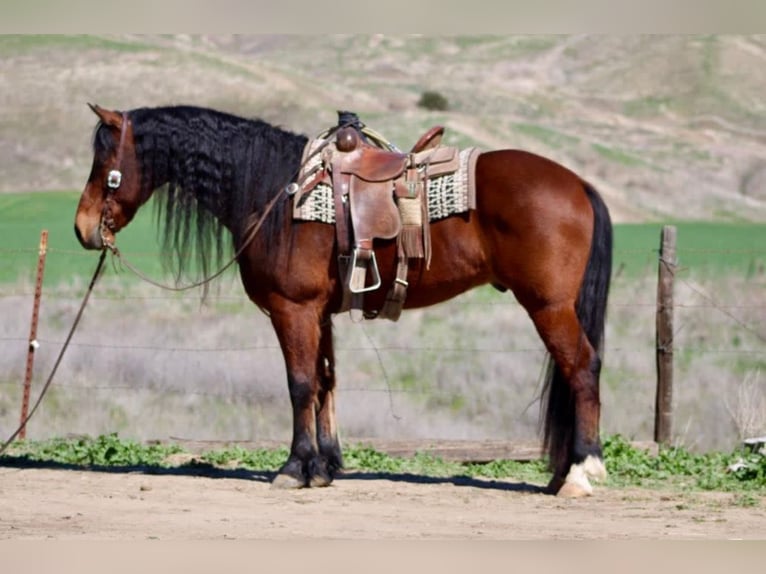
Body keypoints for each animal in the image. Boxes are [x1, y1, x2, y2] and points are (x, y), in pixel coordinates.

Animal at [72, 104, 612, 500]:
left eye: (106, 165)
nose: (82, 228)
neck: (277, 192)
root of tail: (578, 184)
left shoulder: (293, 309)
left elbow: (299, 385)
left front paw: (294, 467)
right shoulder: (320, 314)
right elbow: (325, 383)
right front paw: (325, 466)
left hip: (549, 308)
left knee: (582, 369)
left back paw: (581, 473)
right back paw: (561, 474)